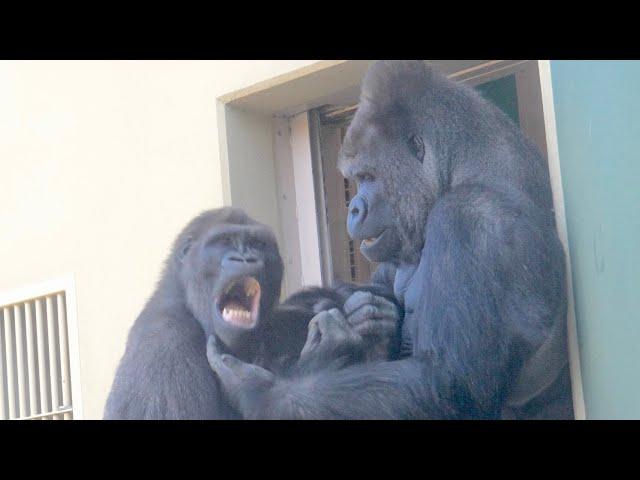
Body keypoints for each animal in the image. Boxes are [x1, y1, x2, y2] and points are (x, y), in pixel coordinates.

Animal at [206, 61, 576, 420]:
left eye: (367, 177)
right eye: (356, 179)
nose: (354, 207)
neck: (472, 164)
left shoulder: (473, 217)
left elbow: (449, 380)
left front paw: (259, 391)